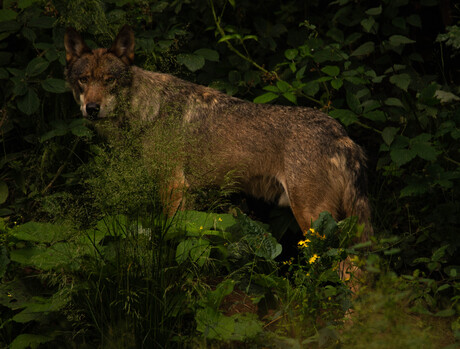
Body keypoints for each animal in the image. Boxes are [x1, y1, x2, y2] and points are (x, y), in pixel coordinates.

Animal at [64, 25, 372, 242]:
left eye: (109, 80)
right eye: (84, 80)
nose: (92, 108)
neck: (148, 110)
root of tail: (342, 135)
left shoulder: (173, 186)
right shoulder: (188, 193)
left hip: (312, 220)